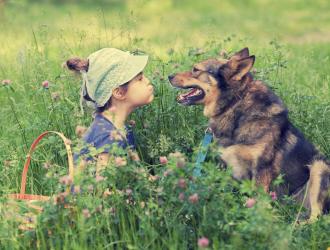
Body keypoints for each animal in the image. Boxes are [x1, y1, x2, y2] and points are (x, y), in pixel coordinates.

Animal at [169, 47, 328, 221]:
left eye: (195, 69)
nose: (169, 76)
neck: (234, 104)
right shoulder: (228, 169)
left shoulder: (262, 170)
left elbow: (257, 206)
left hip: (320, 167)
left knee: (317, 217)